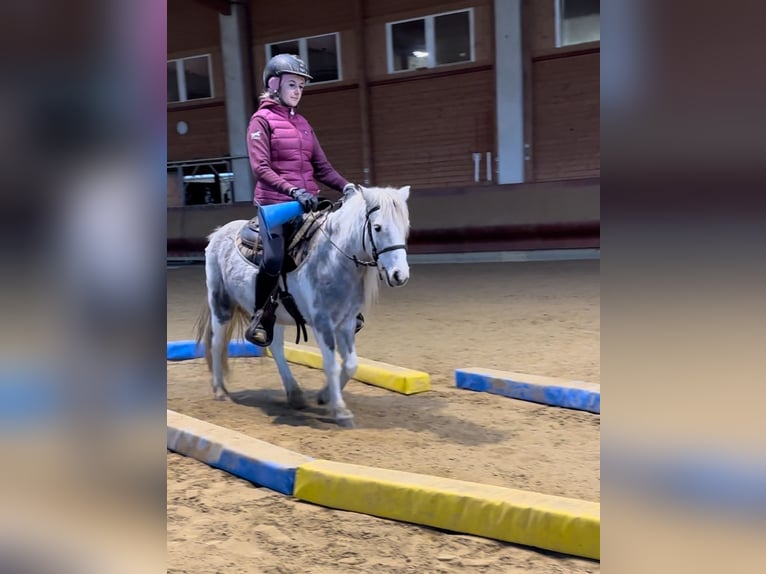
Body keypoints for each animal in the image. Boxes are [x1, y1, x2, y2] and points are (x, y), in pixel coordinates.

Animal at [196, 187, 414, 430]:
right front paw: (341, 412)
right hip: (221, 303)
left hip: (274, 315)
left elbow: (350, 364)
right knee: (216, 343)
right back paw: (220, 391)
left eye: (405, 226)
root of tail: (218, 233)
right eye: (377, 227)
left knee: (276, 348)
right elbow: (332, 364)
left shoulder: (346, 323)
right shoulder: (322, 323)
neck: (333, 258)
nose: (400, 275)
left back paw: (295, 394)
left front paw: (325, 396)